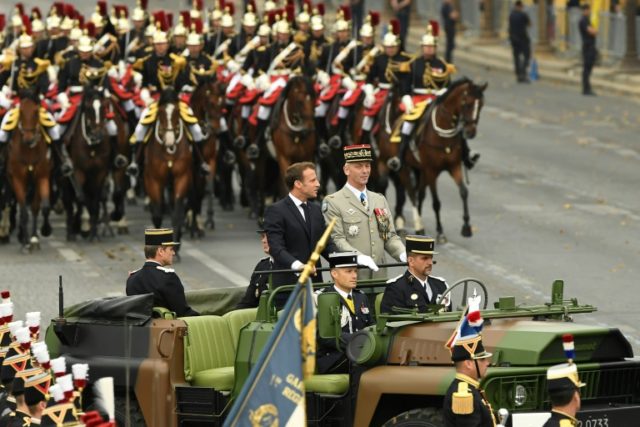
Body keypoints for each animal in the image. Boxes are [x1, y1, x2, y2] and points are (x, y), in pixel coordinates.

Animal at [5, 88, 52, 252]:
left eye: (36, 112)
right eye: (20, 111)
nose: (29, 139)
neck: (30, 151)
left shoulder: (42, 177)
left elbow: (42, 207)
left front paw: (38, 235)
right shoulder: (18, 179)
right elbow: (24, 211)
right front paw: (25, 240)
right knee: (19, 205)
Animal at [62, 85, 112, 242]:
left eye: (104, 106)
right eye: (89, 108)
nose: (98, 135)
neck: (92, 147)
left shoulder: (100, 173)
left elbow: (95, 201)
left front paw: (93, 233)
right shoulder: (79, 172)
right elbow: (81, 198)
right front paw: (82, 227)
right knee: (70, 201)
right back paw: (71, 231)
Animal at [144, 87, 192, 247]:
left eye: (177, 110)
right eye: (160, 112)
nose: (170, 141)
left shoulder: (182, 177)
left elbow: (176, 213)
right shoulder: (152, 180)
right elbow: (157, 214)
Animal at [404, 78, 490, 242]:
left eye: (481, 104)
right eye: (467, 103)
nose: (471, 132)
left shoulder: (454, 167)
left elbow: (463, 192)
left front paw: (466, 227)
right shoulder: (431, 171)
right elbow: (436, 202)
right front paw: (440, 232)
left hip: (421, 171)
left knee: (420, 194)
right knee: (412, 193)